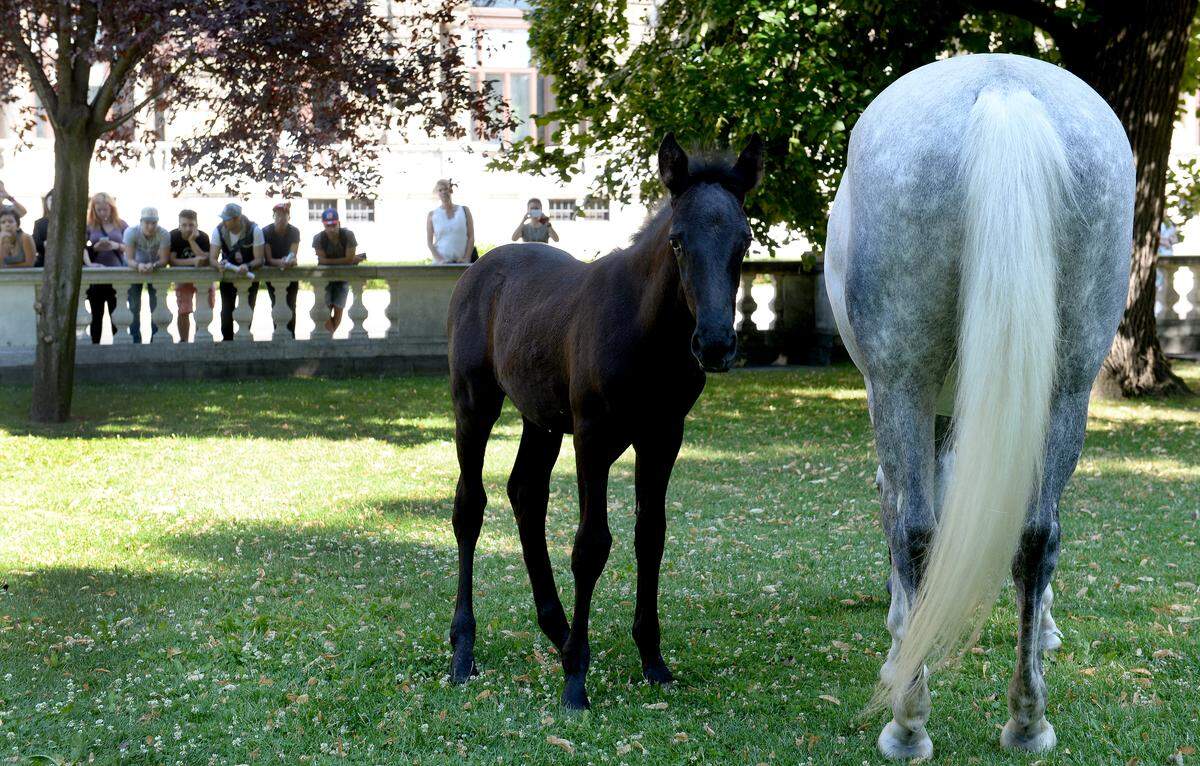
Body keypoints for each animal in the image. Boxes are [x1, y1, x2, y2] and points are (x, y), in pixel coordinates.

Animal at [446, 133, 763, 715]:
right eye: (677, 242)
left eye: (745, 240)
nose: (714, 344)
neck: (648, 331)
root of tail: (479, 267)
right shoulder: (593, 437)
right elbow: (591, 545)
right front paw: (576, 682)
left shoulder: (663, 437)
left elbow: (650, 535)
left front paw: (653, 661)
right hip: (474, 404)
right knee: (469, 507)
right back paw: (465, 650)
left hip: (542, 420)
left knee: (526, 492)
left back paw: (558, 630)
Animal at [825, 55, 1132, 763]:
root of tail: (1002, 86)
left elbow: (905, 516)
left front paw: (900, 642)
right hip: (1066, 385)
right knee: (1037, 534)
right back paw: (1028, 722)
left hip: (901, 381)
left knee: (916, 531)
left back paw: (908, 723)